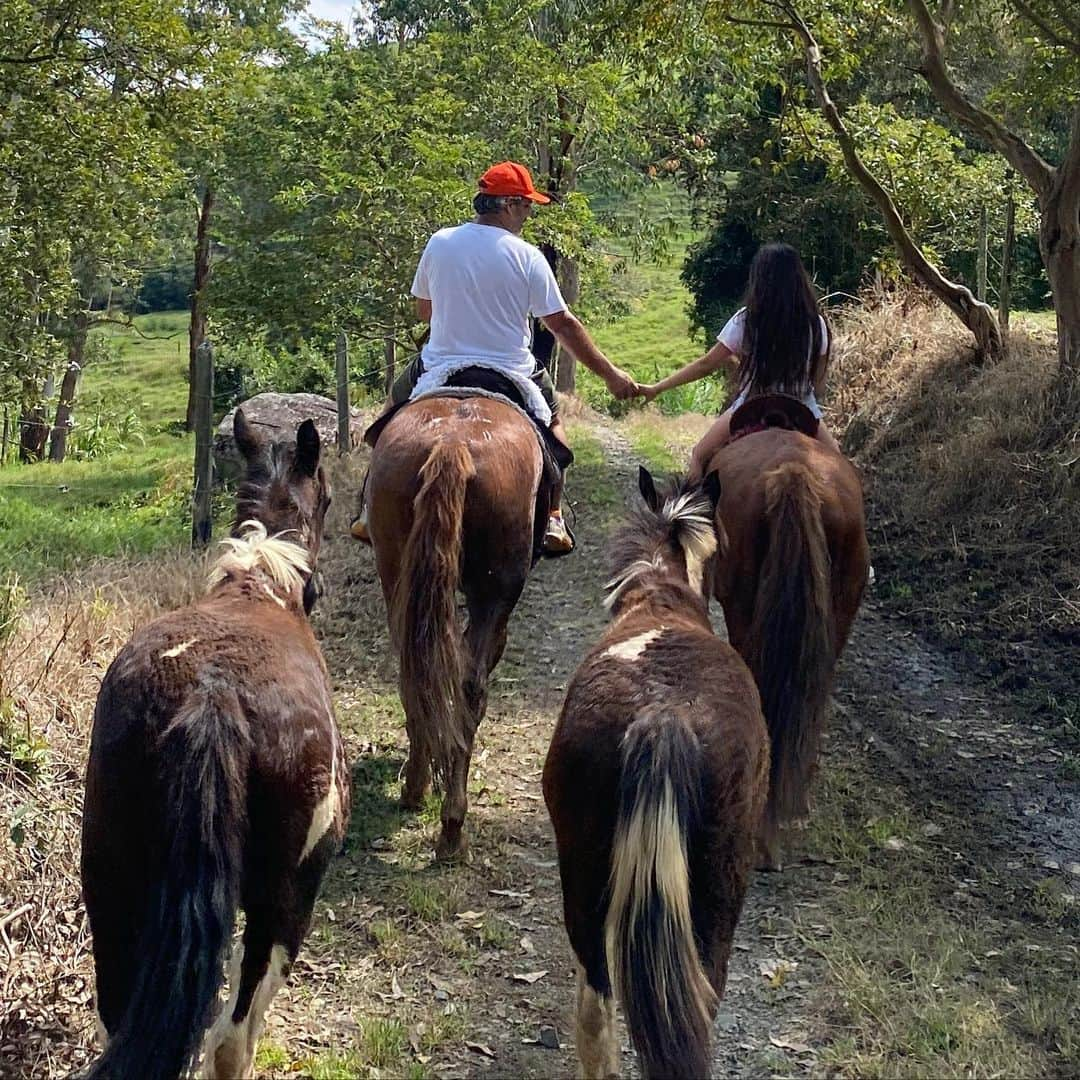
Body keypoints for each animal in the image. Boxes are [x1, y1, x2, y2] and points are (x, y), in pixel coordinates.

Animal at [81, 410, 349, 1080]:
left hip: (110, 877)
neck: (259, 586)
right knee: (232, 1038)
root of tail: (213, 697)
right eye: (331, 496)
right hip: (284, 902)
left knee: (117, 1010)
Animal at [367, 393, 548, 855]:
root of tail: (452, 443)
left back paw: (421, 792)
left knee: (415, 671)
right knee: (471, 684)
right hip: (493, 591)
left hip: (398, 571)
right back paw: (450, 823)